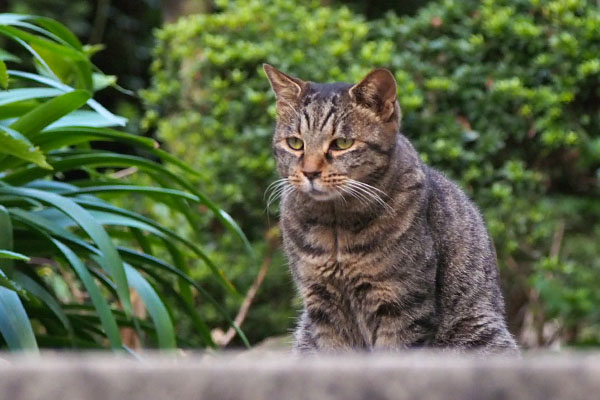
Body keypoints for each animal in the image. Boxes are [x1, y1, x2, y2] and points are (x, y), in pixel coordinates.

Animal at [264, 63, 516, 354]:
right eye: (295, 143)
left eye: (342, 143)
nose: (310, 172)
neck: (335, 227)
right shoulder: (322, 305)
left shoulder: (402, 303)